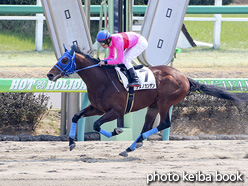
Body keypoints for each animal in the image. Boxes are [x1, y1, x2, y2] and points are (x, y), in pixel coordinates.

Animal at [47, 45, 247, 157]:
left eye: (64, 59)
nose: (49, 75)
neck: (102, 80)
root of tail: (184, 77)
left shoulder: (116, 111)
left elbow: (96, 125)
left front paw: (117, 130)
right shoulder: (97, 107)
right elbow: (76, 116)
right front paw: (72, 143)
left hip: (165, 102)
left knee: (164, 123)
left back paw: (133, 145)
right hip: (153, 105)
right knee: (147, 126)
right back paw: (131, 147)